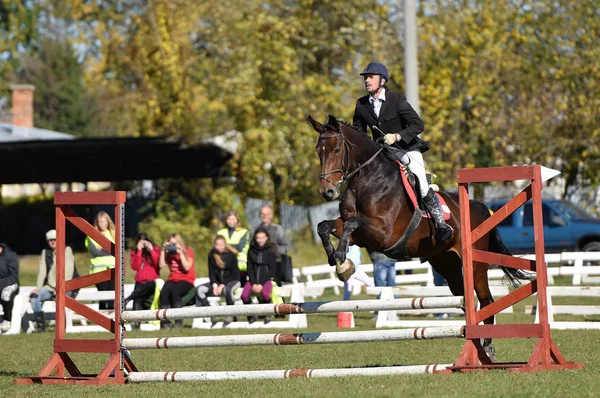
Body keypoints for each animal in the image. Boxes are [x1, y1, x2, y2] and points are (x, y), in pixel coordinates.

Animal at [308, 114, 528, 358]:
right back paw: (476, 344)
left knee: (486, 299)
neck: (365, 181)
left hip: (476, 265)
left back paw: (487, 347)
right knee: (465, 299)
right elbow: (325, 226)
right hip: (446, 264)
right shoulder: (361, 235)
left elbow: (351, 224)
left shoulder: (383, 233)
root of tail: (478, 206)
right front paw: (338, 261)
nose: (327, 192)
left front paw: (342, 261)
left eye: (337, 149)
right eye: (318, 151)